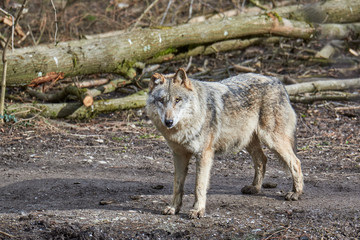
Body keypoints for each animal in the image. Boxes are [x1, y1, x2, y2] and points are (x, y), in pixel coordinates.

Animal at [146, 68, 304, 219]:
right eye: (161, 100)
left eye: (178, 100)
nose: (168, 122)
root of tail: (277, 81)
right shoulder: (179, 155)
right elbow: (177, 186)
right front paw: (173, 208)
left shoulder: (204, 154)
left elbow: (199, 186)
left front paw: (197, 210)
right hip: (249, 141)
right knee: (262, 159)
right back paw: (254, 188)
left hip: (272, 140)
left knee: (295, 162)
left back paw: (295, 193)